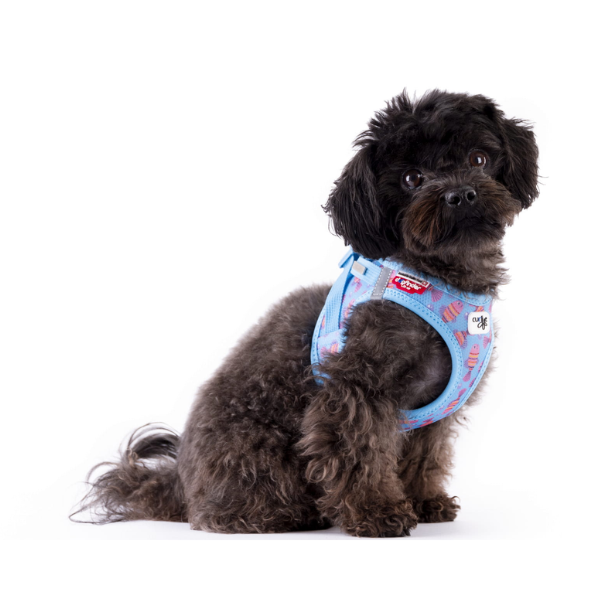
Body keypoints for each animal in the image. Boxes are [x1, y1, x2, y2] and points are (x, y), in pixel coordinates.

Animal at [72, 90, 539, 537]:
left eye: (478, 159)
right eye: (412, 179)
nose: (459, 194)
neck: (438, 277)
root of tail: (179, 484)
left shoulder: (430, 419)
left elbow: (425, 456)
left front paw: (423, 502)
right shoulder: (356, 390)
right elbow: (359, 451)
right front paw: (377, 511)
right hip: (255, 453)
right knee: (226, 508)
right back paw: (283, 515)